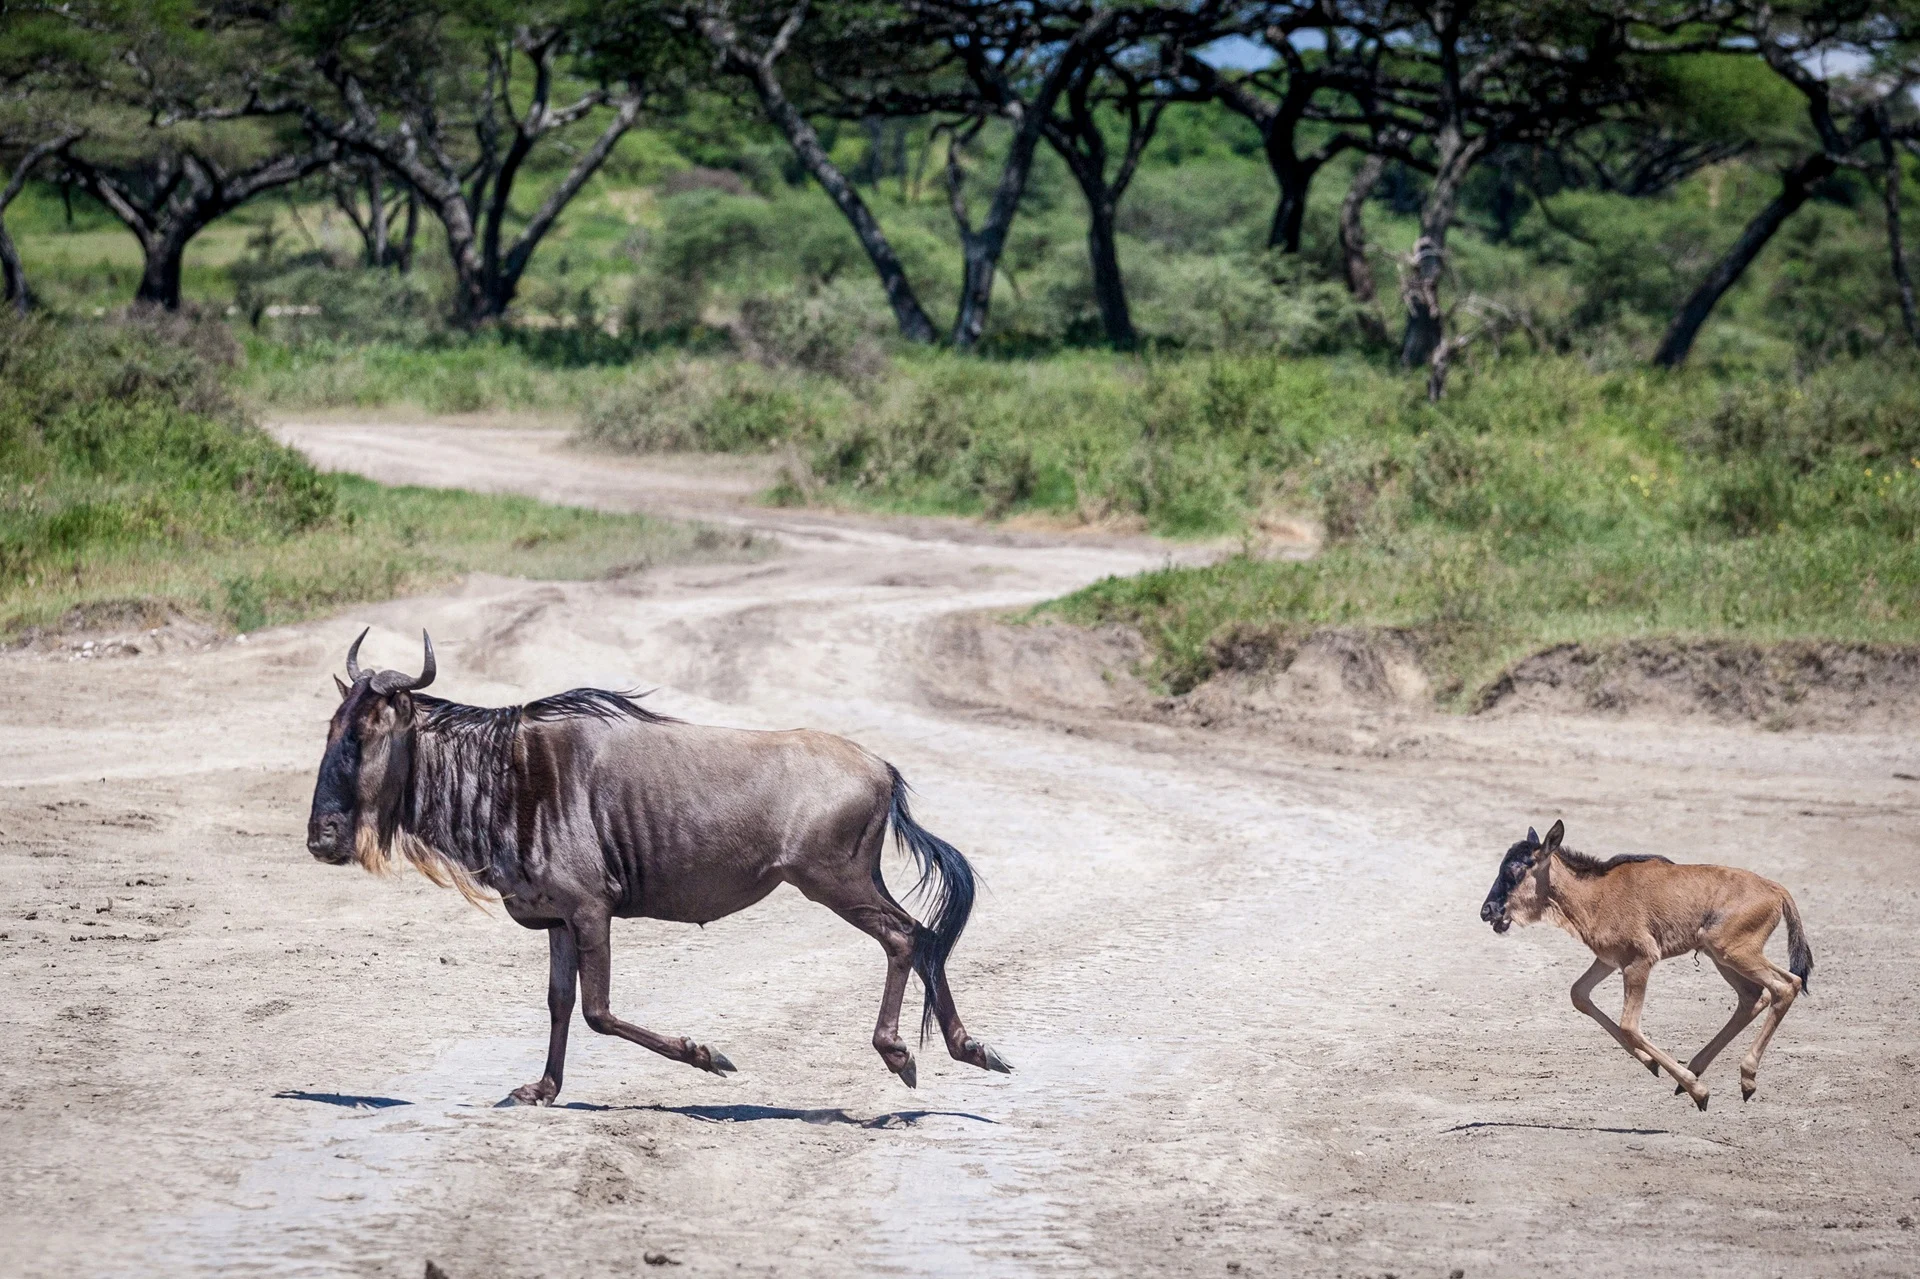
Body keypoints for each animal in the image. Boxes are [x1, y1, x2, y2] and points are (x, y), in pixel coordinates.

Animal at [306, 630, 1012, 1104]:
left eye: (363, 738)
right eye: (330, 731)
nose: (321, 838)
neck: (506, 777)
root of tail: (881, 769)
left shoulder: (591, 907)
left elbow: (598, 1010)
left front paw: (708, 1056)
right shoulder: (558, 916)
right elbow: (561, 1002)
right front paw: (542, 1089)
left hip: (834, 882)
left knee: (903, 936)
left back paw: (899, 1054)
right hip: (860, 879)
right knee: (923, 933)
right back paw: (970, 1049)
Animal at [1480, 820, 1812, 1110]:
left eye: (1518, 868)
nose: (1487, 911)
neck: (1595, 893)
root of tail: (1777, 890)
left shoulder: (1639, 962)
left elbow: (1629, 1025)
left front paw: (1698, 1091)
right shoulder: (1609, 960)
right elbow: (1579, 995)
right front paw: (1654, 1065)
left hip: (1733, 951)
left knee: (1785, 986)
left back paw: (1744, 1078)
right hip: (1721, 956)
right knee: (1754, 996)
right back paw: (1700, 1072)